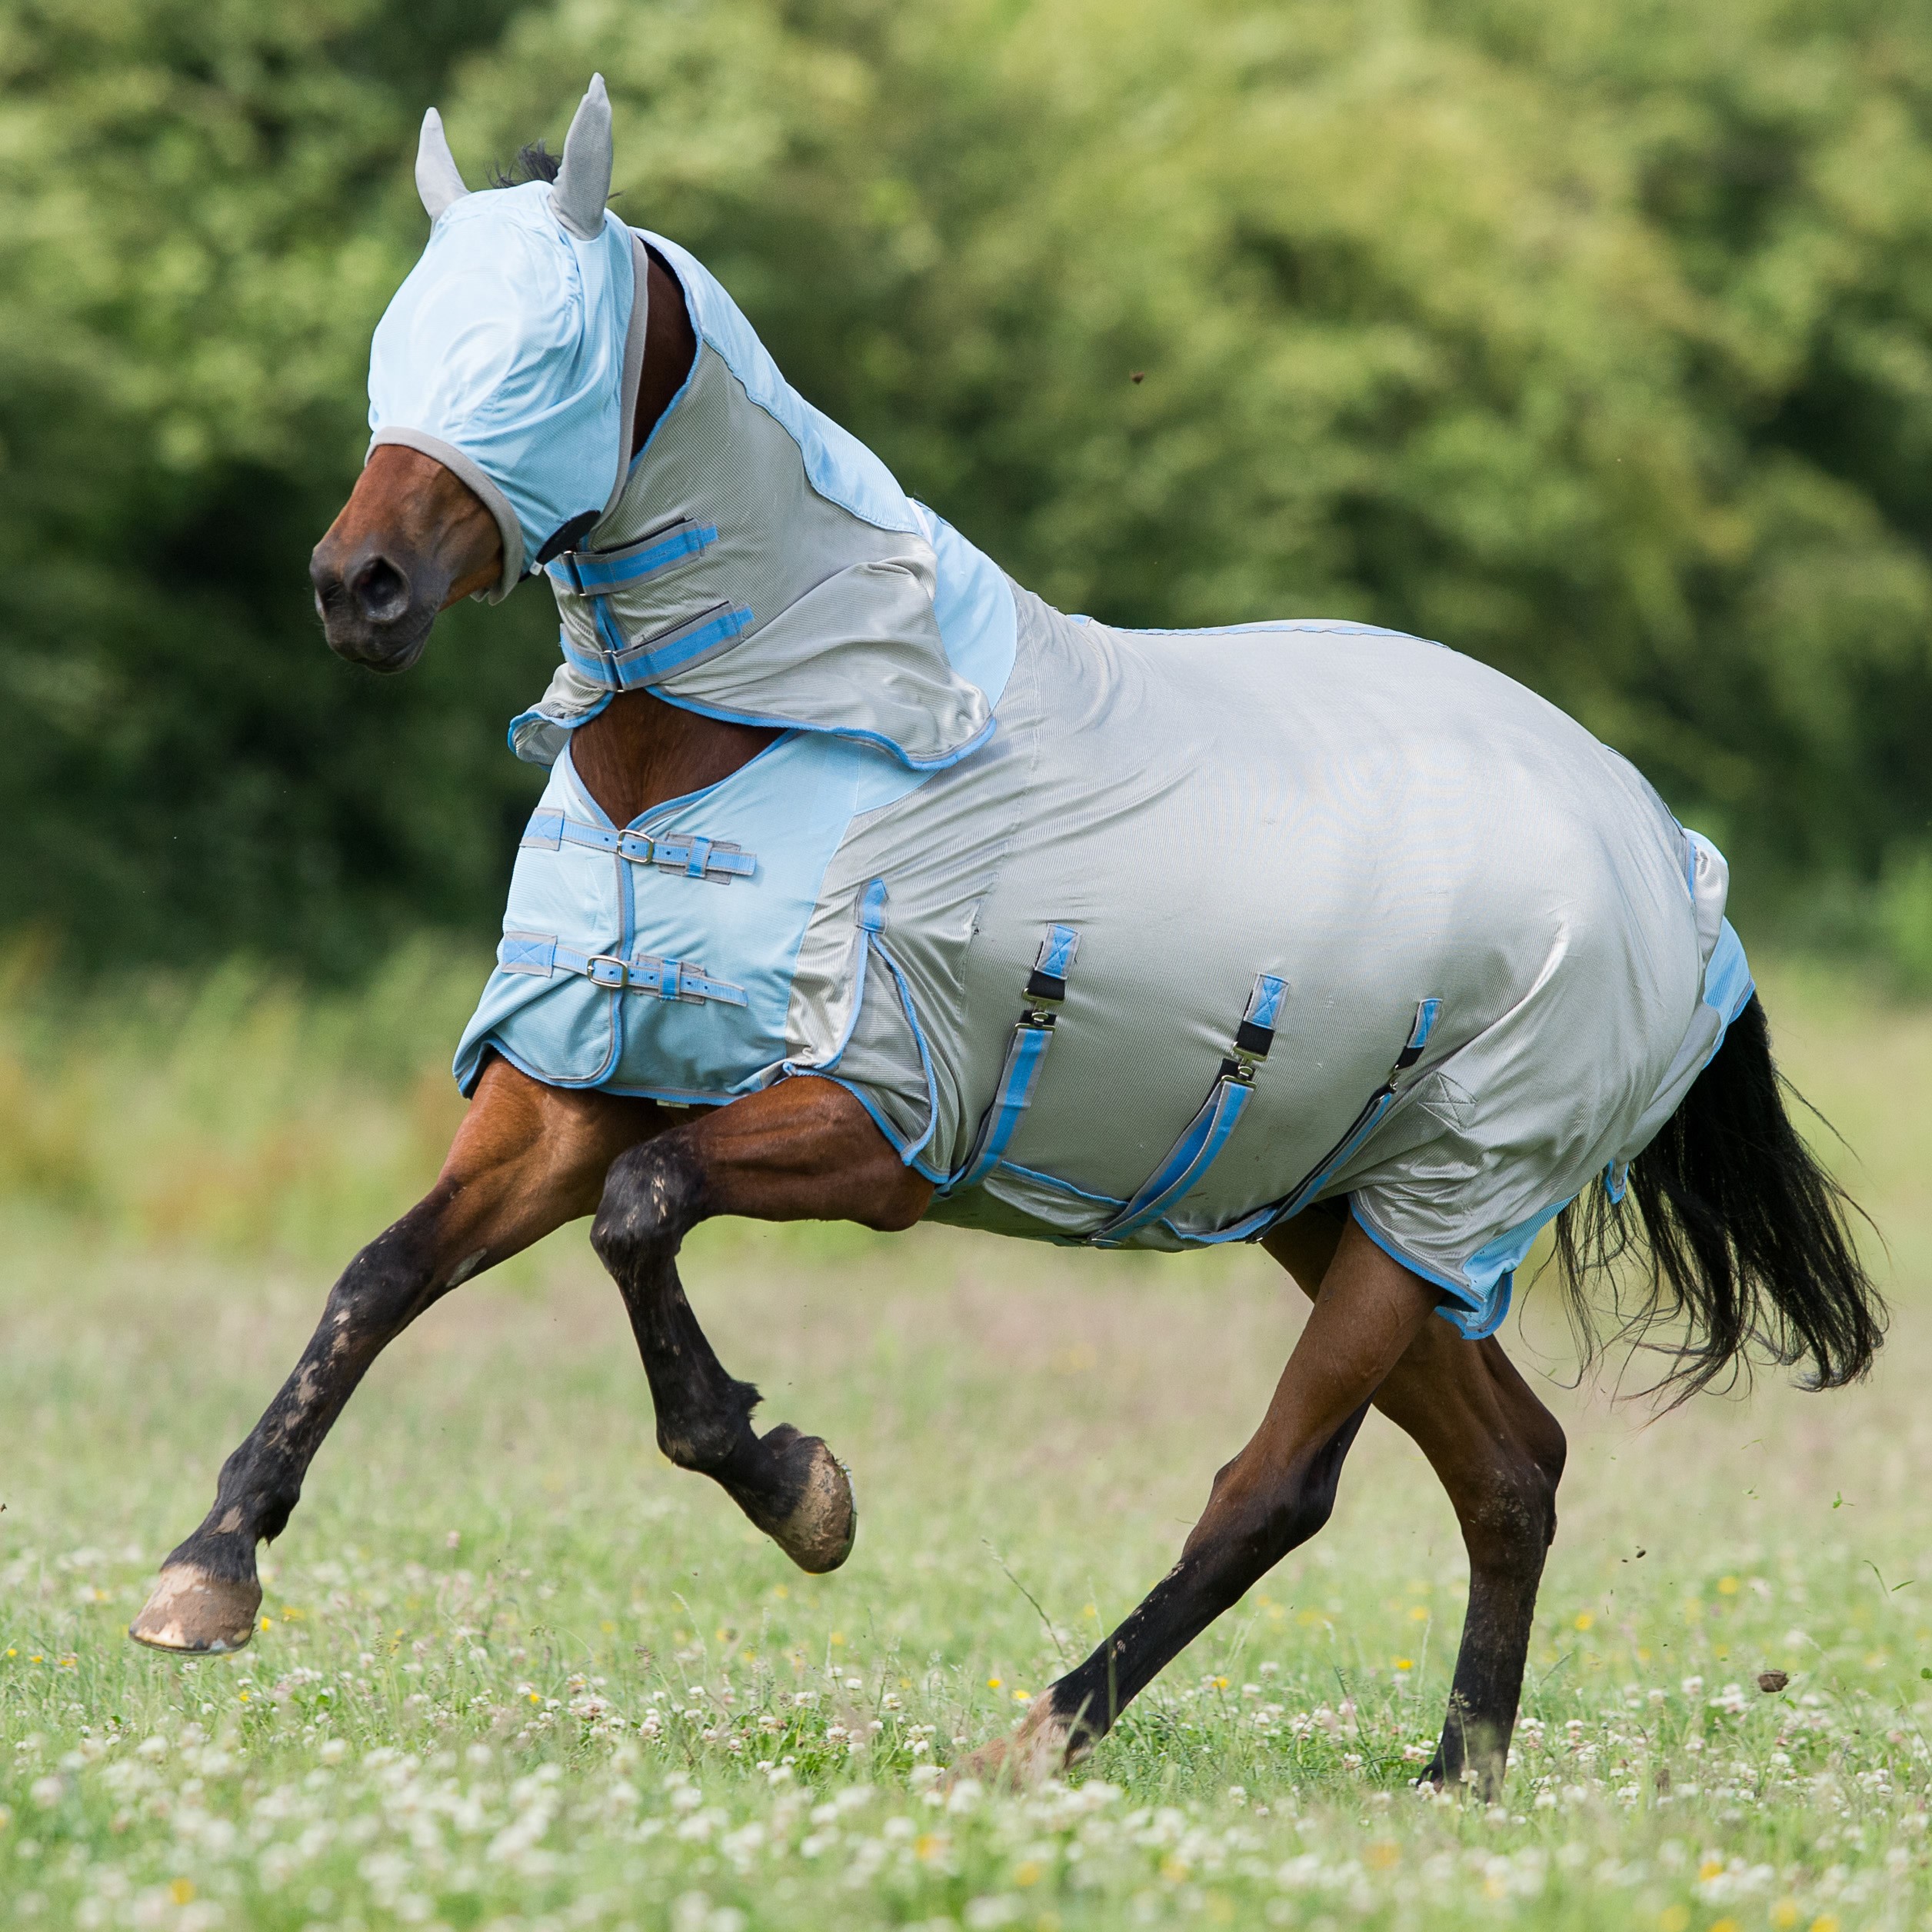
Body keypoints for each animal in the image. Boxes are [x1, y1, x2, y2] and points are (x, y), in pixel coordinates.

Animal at [129, 77, 1882, 1798]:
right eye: (398, 339)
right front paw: (209, 1569)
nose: (357, 585)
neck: (758, 740)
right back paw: (1456, 1783)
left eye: (545, 356)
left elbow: (640, 1217)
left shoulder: (878, 1124)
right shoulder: (564, 1087)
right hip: (1349, 1206)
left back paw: (1046, 1731)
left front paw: (795, 1486)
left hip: (1441, 1204)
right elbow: (380, 1273)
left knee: (1281, 1484)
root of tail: (1675, 867)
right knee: (1512, 1465)